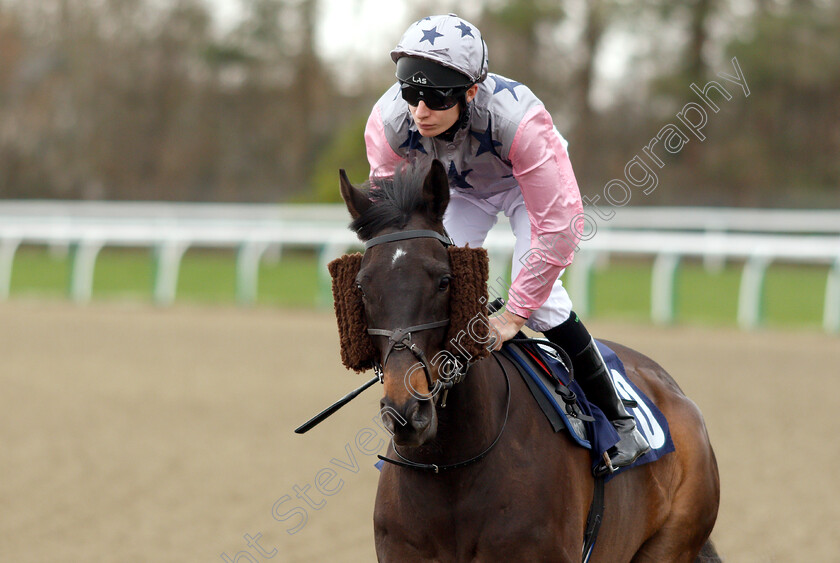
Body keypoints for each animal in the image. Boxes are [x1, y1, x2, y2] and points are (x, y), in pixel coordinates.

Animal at [328, 160, 720, 563]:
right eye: (360, 287)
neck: (450, 467)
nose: (407, 412)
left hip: (671, 542)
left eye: (444, 280)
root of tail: (671, 387)